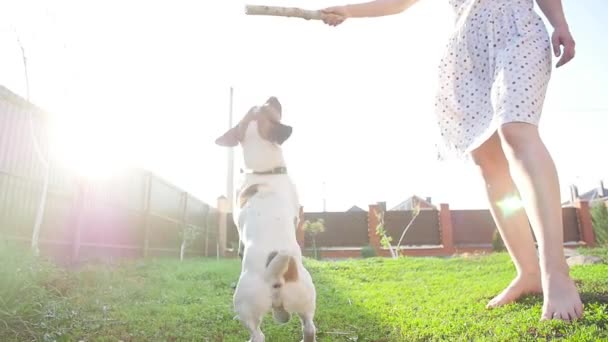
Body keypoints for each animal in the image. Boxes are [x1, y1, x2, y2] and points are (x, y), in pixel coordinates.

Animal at [215, 96, 318, 342]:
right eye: (270, 108)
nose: (272, 97)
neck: (263, 171)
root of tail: (276, 277)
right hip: (305, 299)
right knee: (307, 328)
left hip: (246, 305)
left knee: (259, 334)